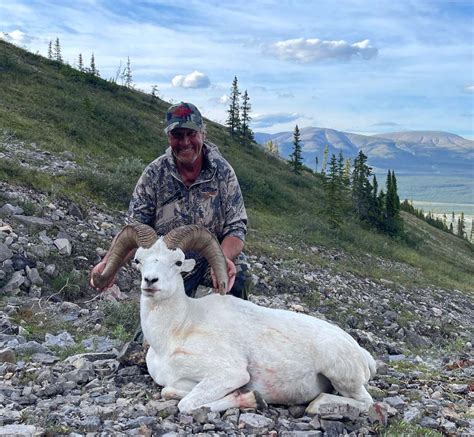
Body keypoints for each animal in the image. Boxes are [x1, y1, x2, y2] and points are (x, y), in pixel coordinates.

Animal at [91, 225, 374, 412]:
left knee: (366, 403)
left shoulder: (230, 374)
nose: (151, 281)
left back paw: (317, 404)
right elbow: (169, 390)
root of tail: (361, 353)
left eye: (178, 262)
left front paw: (250, 399)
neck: (175, 333)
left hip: (342, 377)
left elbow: (187, 404)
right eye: (139, 260)